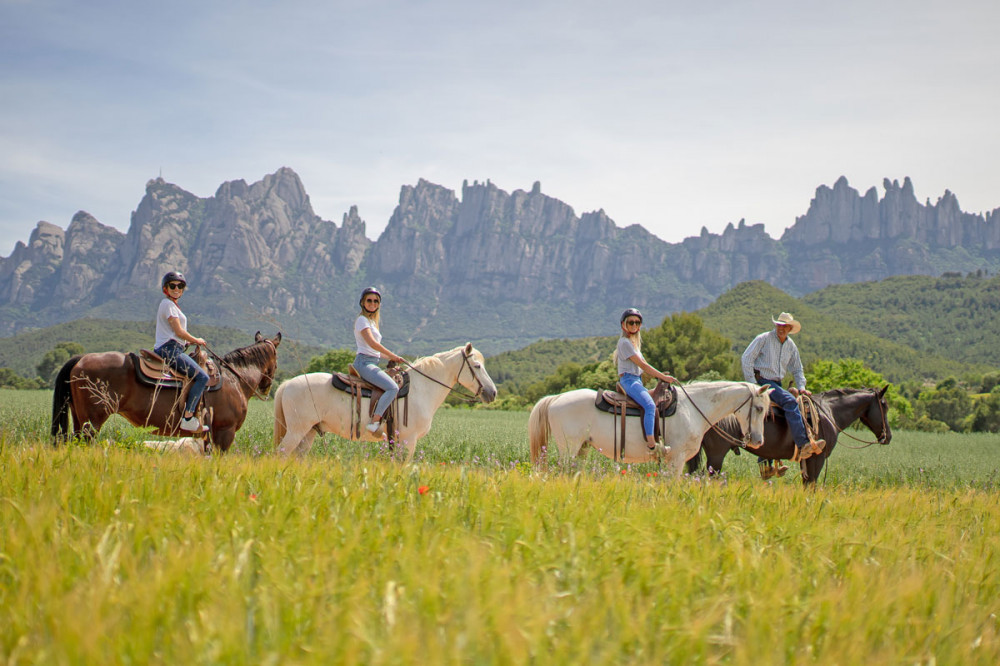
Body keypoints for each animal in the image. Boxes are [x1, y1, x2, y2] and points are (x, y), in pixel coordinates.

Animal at [51, 332, 282, 452]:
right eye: (277, 360)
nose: (266, 388)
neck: (234, 379)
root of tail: (80, 359)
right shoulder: (225, 432)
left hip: (80, 419)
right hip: (92, 422)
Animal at [274, 340, 496, 460]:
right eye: (477, 366)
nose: (492, 393)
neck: (421, 389)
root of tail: (287, 384)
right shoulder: (408, 440)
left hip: (309, 433)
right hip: (296, 431)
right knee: (280, 455)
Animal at [532, 378, 772, 472]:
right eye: (760, 409)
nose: (759, 441)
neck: (692, 408)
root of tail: (556, 398)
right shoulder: (676, 458)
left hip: (581, 449)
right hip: (568, 449)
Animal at [688, 384, 892, 482]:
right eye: (884, 405)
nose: (888, 436)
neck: (829, 412)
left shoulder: (807, 461)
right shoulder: (817, 458)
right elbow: (811, 485)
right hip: (716, 455)